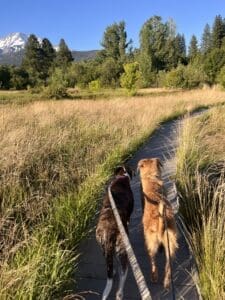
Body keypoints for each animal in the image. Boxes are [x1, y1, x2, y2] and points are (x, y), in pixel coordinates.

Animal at [95, 165, 134, 298]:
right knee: (122, 276)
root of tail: (108, 234)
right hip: (123, 252)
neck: (122, 176)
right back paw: (119, 293)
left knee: (110, 265)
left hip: (103, 247)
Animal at [138, 158, 178, 290]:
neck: (151, 178)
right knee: (168, 266)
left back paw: (154, 277)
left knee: (153, 261)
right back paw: (166, 282)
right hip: (170, 244)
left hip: (151, 243)